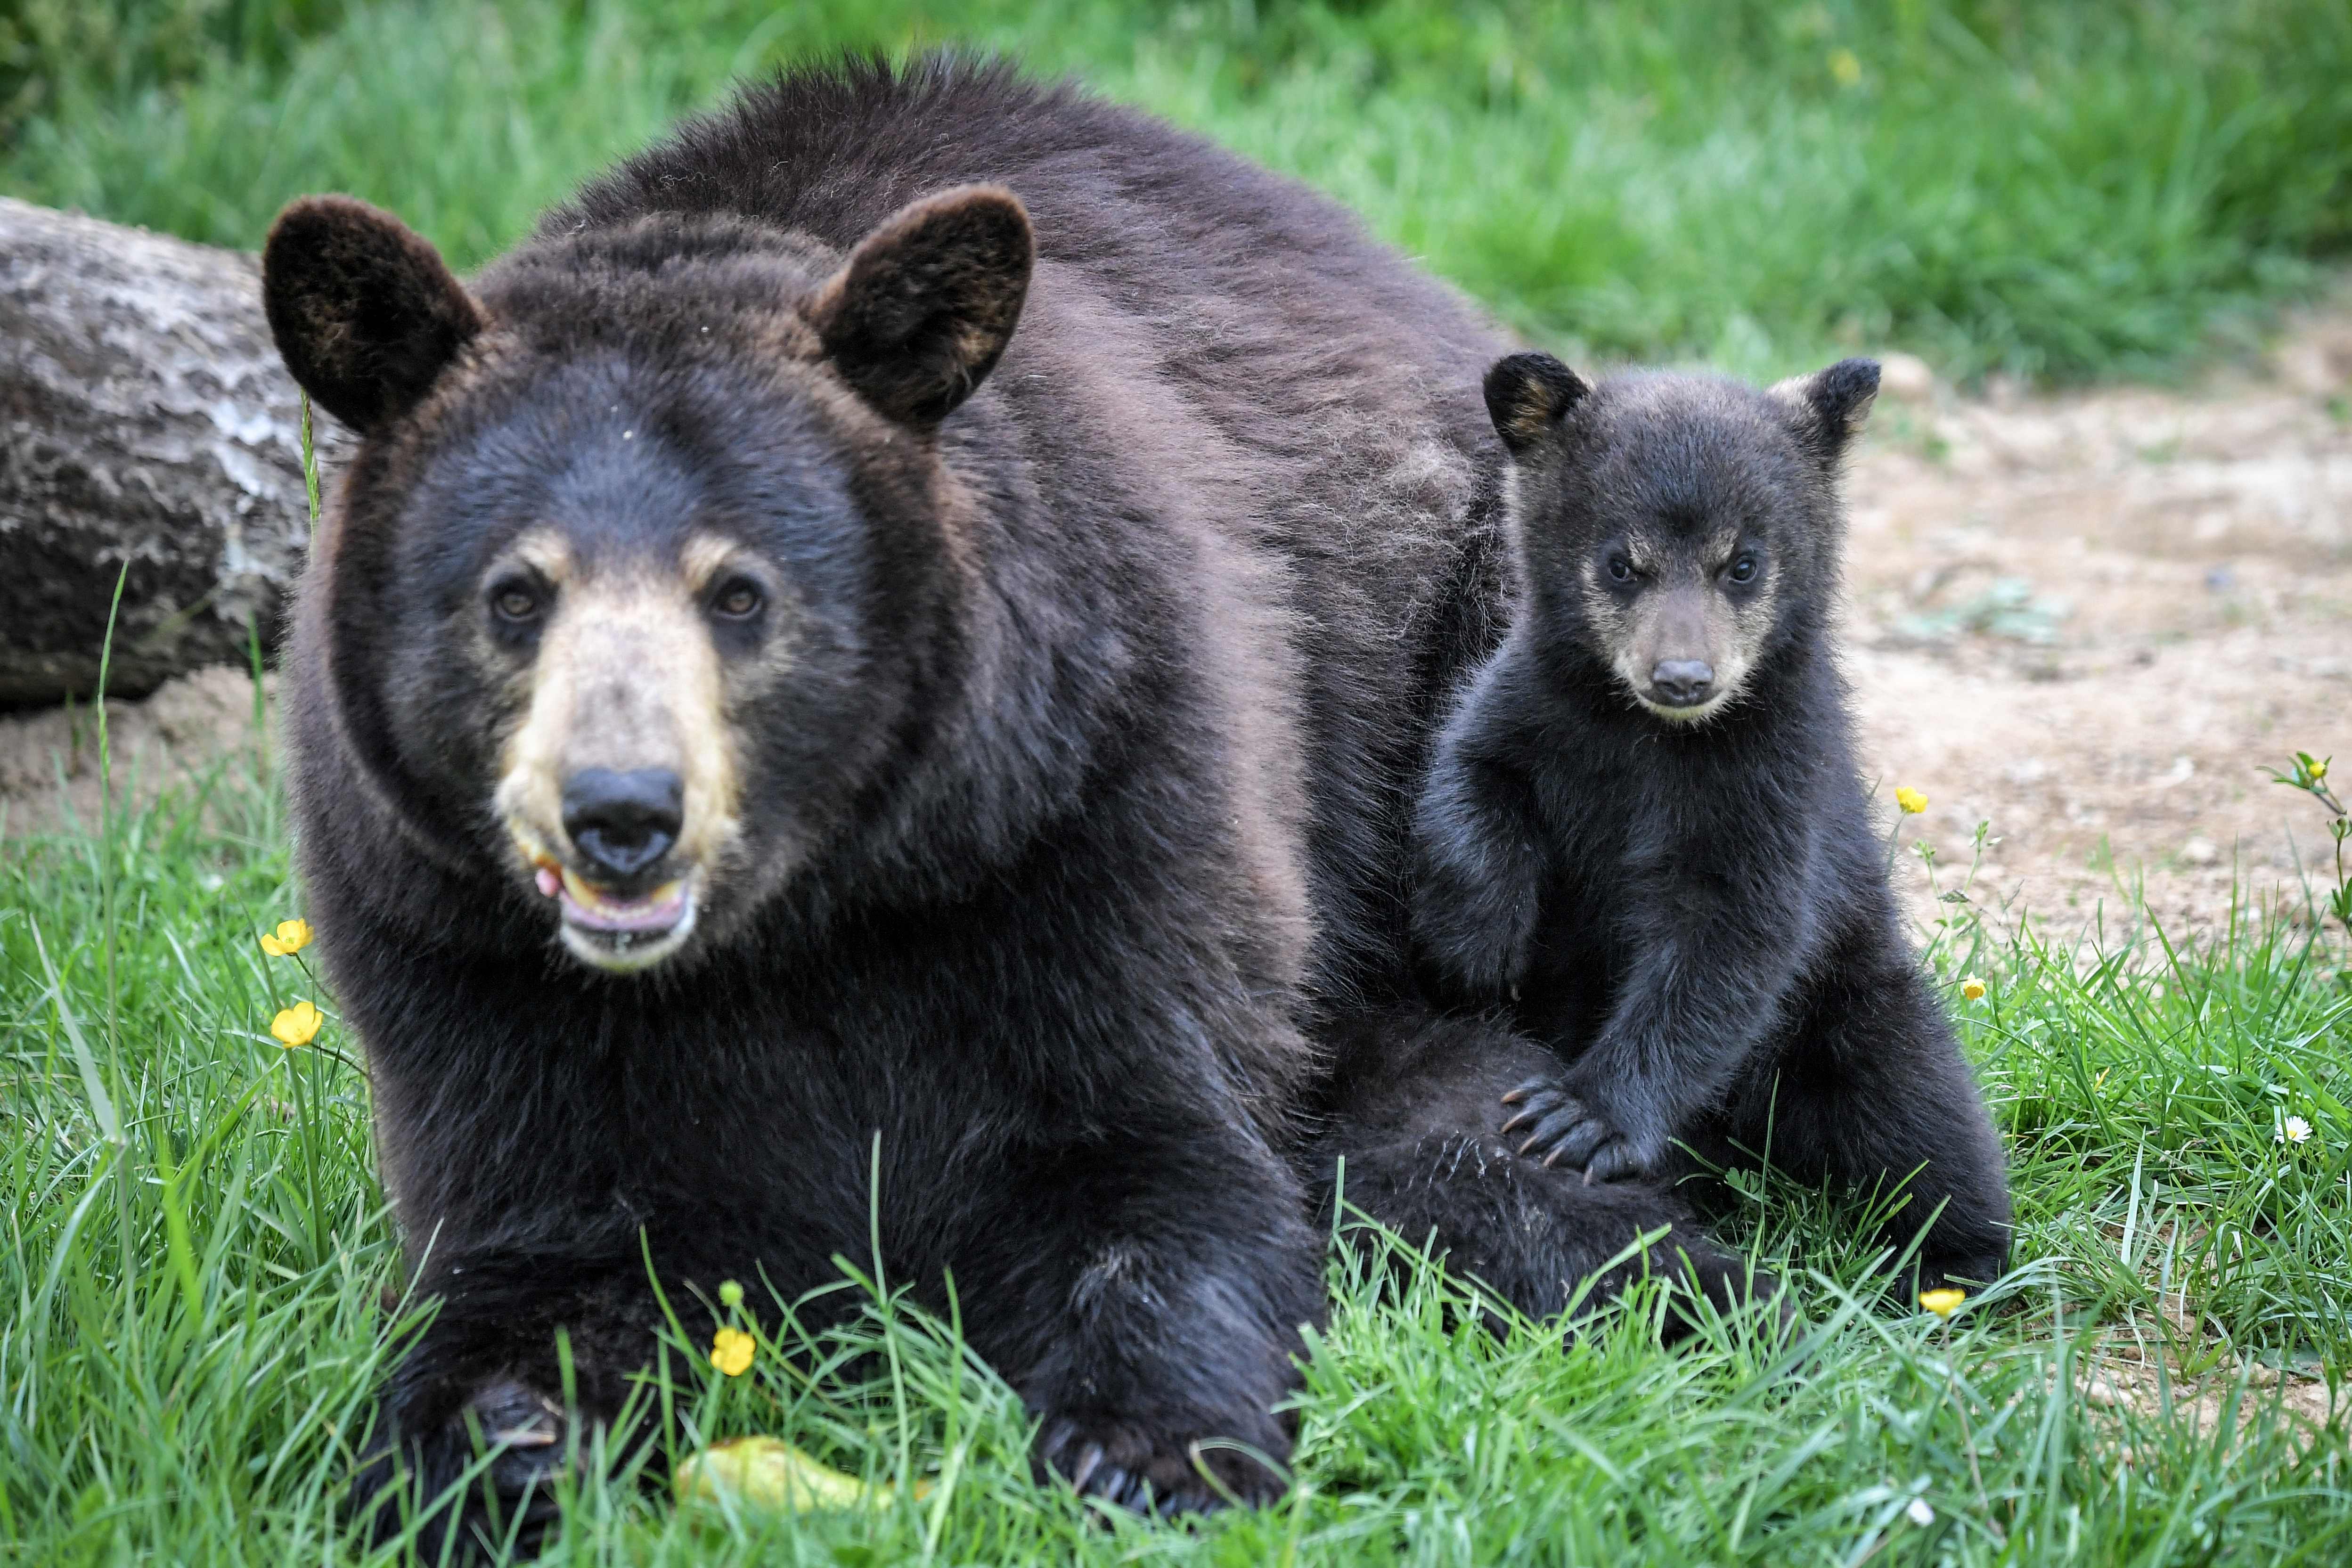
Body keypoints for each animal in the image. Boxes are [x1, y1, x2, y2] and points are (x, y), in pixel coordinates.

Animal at [267, 55, 1759, 1552]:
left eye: (740, 592)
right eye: (515, 593)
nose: (620, 816)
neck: (806, 914)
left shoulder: (1085, 794)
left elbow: (1158, 1156)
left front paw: (1145, 1447)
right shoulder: (458, 944)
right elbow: (545, 1236)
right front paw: (484, 1449)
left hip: (1485, 677)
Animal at [1402, 359, 2013, 1298]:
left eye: (1744, 563)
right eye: (1621, 563)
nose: (1683, 677)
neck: (1653, 739)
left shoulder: (1775, 781)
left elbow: (1728, 940)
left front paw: (1579, 1117)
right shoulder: (1533, 701)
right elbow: (1472, 773)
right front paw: (1479, 944)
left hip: (1855, 1004)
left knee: (1922, 1118)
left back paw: (1951, 1266)